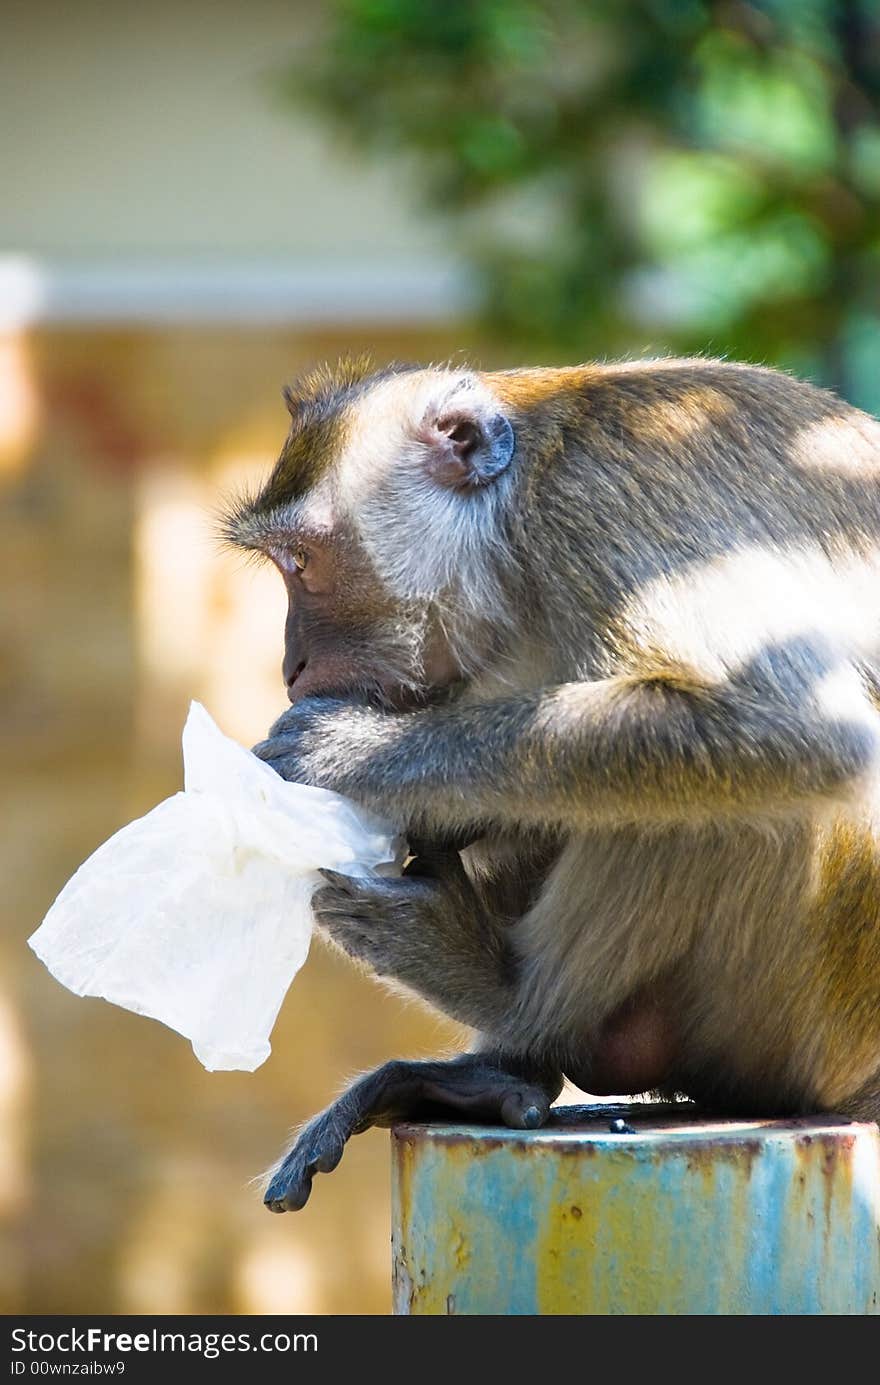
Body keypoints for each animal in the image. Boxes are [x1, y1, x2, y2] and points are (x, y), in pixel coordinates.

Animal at [221, 354, 880, 1213]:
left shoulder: (597, 504)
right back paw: (498, 1066)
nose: (290, 665)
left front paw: (349, 753)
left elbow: (795, 725)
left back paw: (514, 1001)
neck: (511, 537)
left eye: (303, 563)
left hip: (808, 1023)